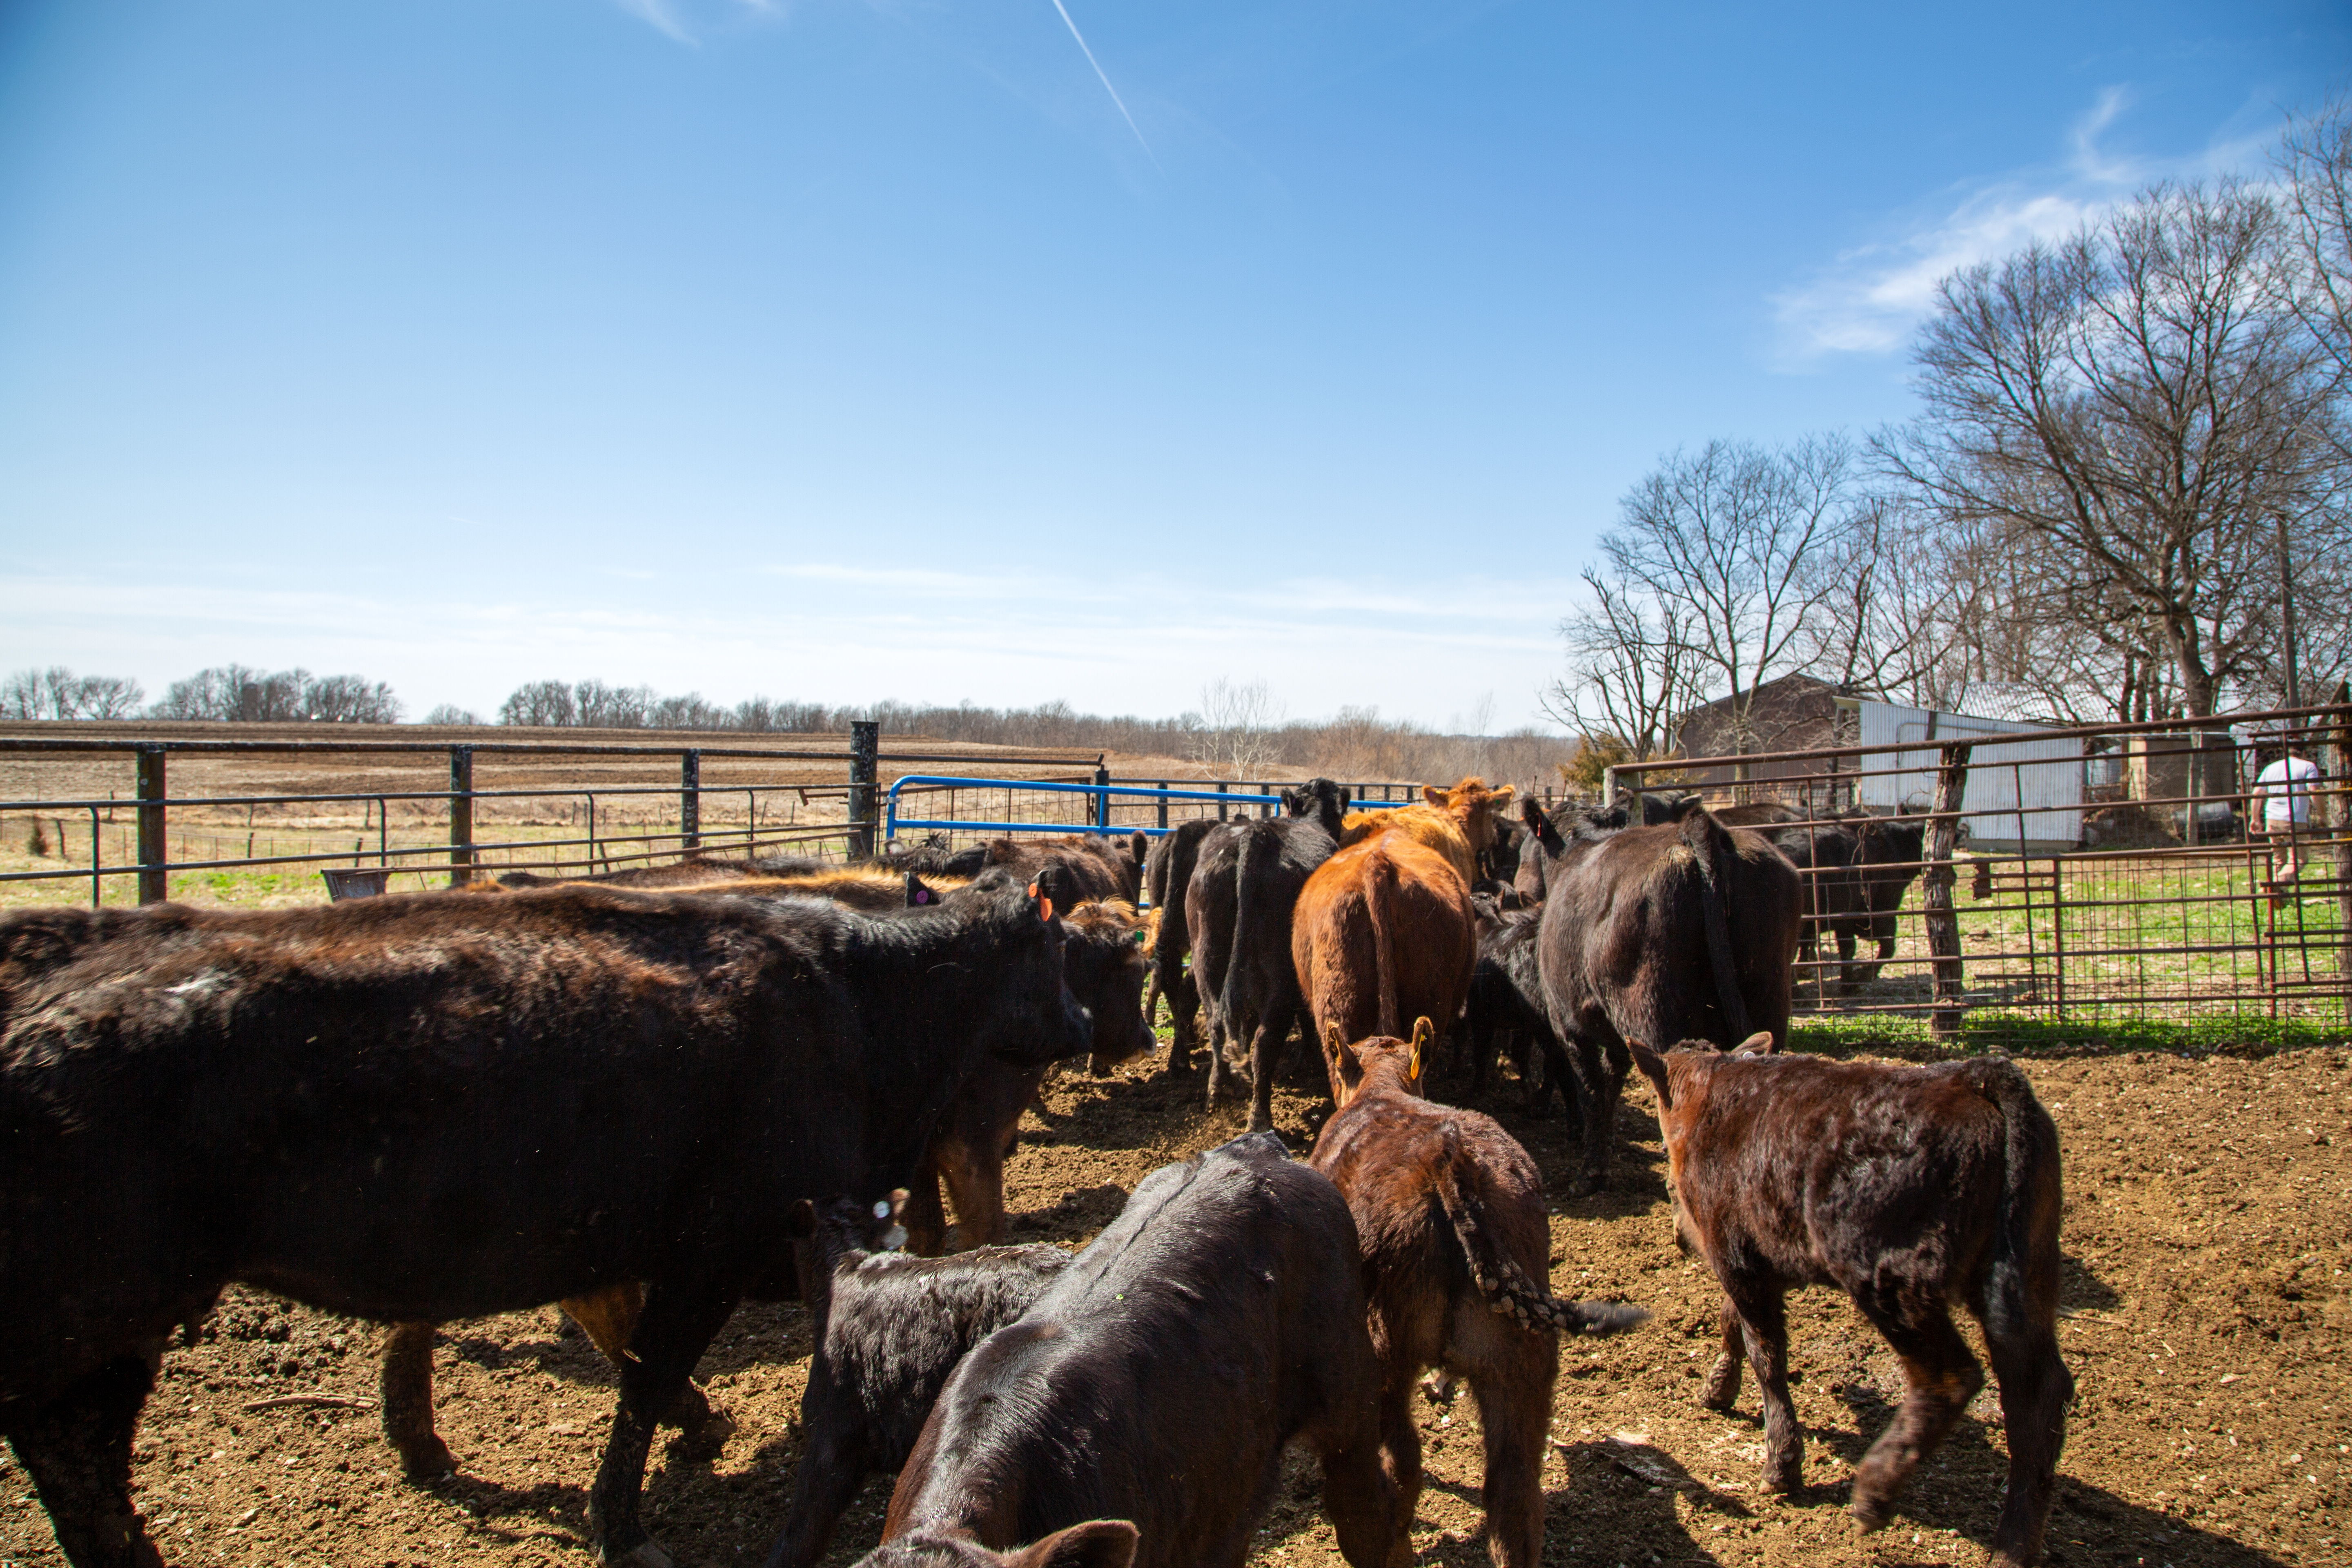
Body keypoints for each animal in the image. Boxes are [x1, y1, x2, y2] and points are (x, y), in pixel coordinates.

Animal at [0, 879, 1087, 1561]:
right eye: (1058, 946)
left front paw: (692, 1428)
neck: (863, 1002)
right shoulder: (714, 1239)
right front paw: (623, 1520)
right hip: (90, 1330)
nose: (1082, 1024)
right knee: (83, 1478)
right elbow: (645, 1367)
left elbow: (623, 1342)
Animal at [1307, 1020, 1656, 1568]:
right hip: (1522, 1362)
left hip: (1385, 1352)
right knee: (1515, 1493)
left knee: (1400, 1466)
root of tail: (1450, 1168)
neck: (1382, 1091)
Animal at [1627, 1034, 2069, 1561]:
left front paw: (1781, 1465)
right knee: (2037, 1395)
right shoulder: (1753, 1259)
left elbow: (1766, 1353)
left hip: (1890, 1280)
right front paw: (1718, 1389)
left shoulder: (1737, 1259)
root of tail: (1972, 1078)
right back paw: (2013, 1544)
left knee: (1951, 1377)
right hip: (2025, 1277)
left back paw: (1876, 1491)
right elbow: (1732, 1322)